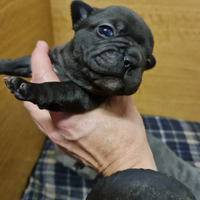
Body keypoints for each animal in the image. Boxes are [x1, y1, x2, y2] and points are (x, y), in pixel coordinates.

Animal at [0, 0, 155, 112]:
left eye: (147, 62)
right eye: (105, 31)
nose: (133, 60)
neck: (70, 72)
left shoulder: (83, 96)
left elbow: (57, 90)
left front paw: (32, 88)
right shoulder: (48, 57)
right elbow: (17, 62)